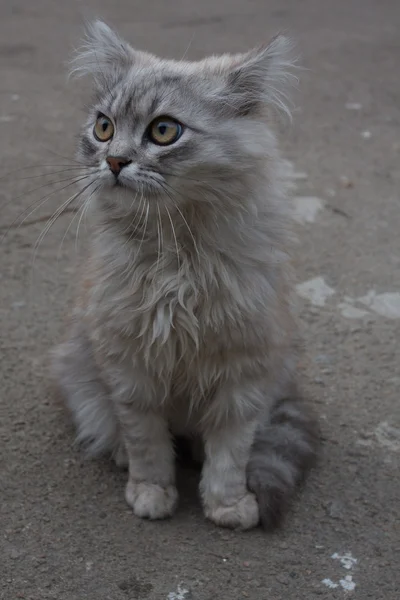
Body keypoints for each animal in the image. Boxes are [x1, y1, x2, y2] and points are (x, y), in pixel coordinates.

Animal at [50, 21, 318, 528]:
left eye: (163, 130)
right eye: (103, 127)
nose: (113, 161)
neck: (178, 258)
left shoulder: (245, 372)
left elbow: (230, 453)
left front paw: (228, 505)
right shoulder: (130, 369)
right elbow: (148, 444)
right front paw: (152, 493)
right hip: (82, 375)